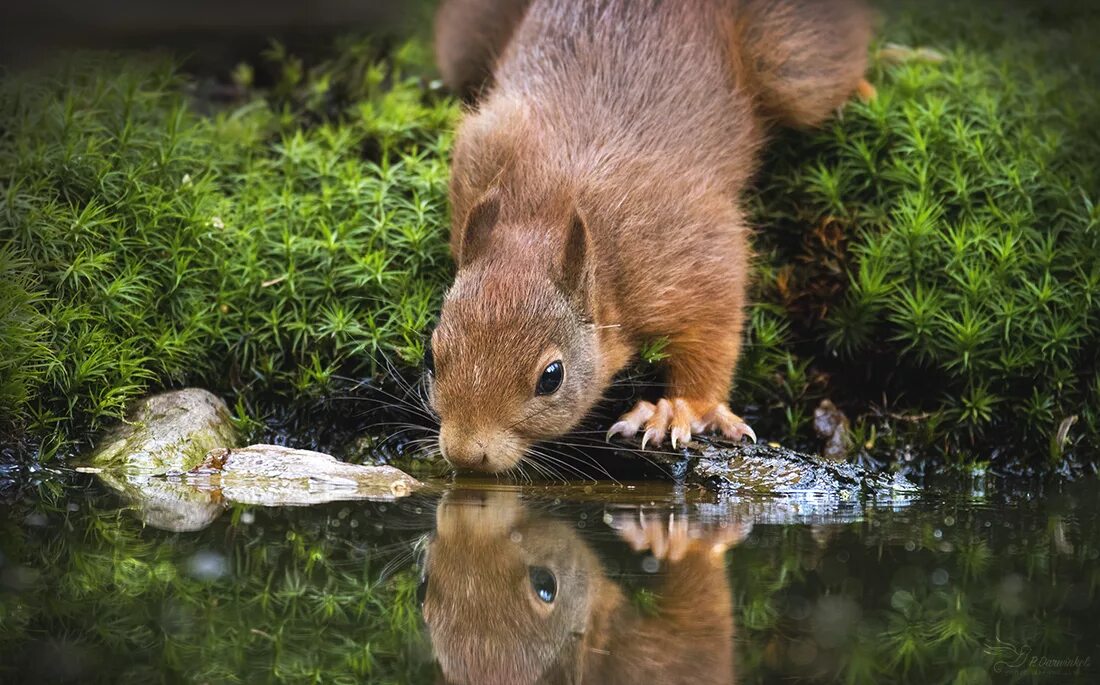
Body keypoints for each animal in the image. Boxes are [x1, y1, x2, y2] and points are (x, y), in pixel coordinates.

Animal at [426, 0, 866, 470]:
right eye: (431, 356)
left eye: (551, 377)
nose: (466, 454)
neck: (548, 208)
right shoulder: (478, 157)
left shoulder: (692, 249)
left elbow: (714, 331)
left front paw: (682, 408)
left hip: (797, 62)